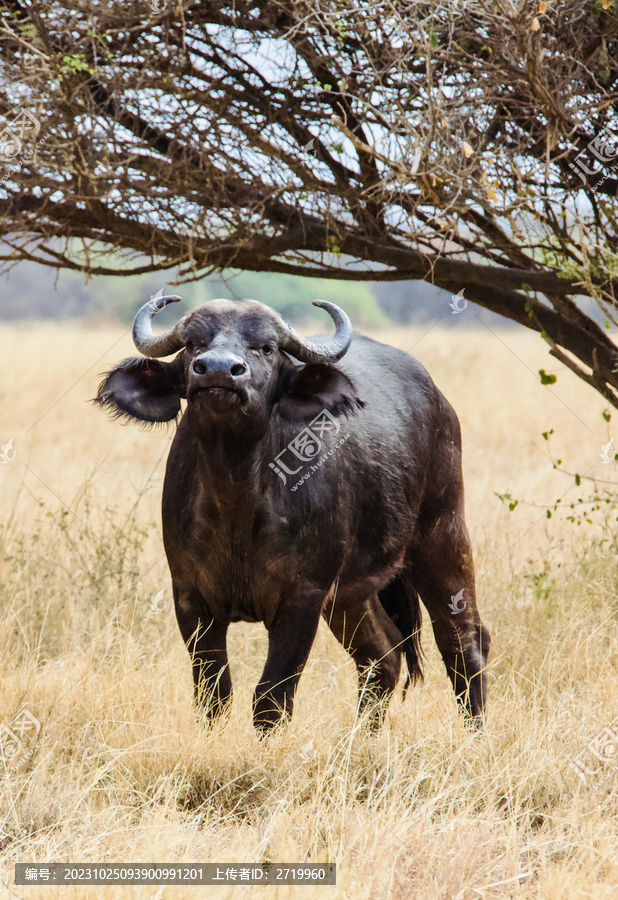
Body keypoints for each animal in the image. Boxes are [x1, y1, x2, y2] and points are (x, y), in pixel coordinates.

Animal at [96, 296, 488, 732]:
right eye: (194, 344)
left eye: (266, 347)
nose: (217, 369)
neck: (237, 502)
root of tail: (439, 402)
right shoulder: (190, 595)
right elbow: (213, 693)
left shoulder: (304, 596)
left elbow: (271, 696)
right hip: (351, 593)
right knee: (382, 654)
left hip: (443, 535)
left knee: (464, 642)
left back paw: (473, 731)